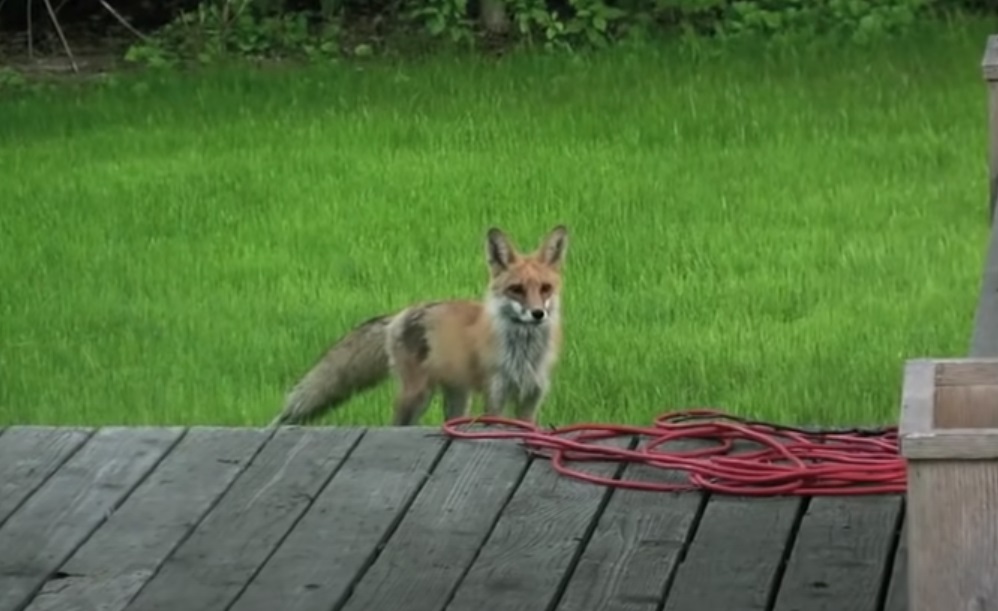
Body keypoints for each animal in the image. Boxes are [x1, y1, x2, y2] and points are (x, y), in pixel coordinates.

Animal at [274, 222, 572, 428]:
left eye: (545, 288)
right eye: (517, 289)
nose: (537, 314)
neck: (524, 355)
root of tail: (400, 314)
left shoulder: (532, 396)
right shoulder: (495, 395)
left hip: (457, 396)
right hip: (417, 396)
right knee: (397, 425)